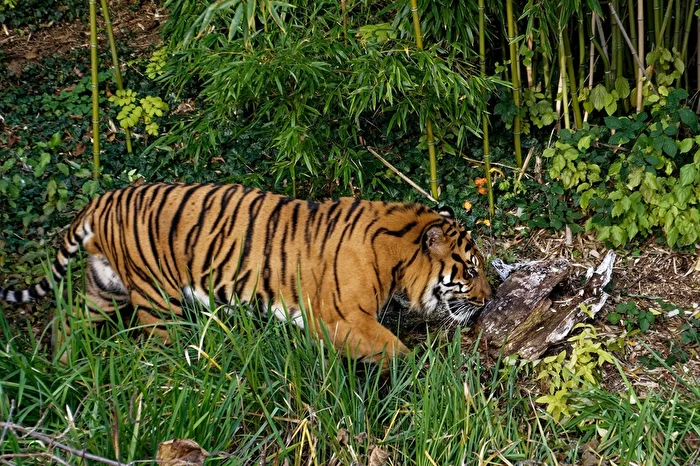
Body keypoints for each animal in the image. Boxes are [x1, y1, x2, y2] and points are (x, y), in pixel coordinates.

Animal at [0, 182, 492, 366]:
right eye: (470, 269)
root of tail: (102, 200)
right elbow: (395, 350)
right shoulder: (344, 319)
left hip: (105, 289)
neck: (396, 255)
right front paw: (424, 373)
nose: (489, 299)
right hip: (155, 298)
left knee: (66, 321)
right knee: (157, 342)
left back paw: (64, 366)